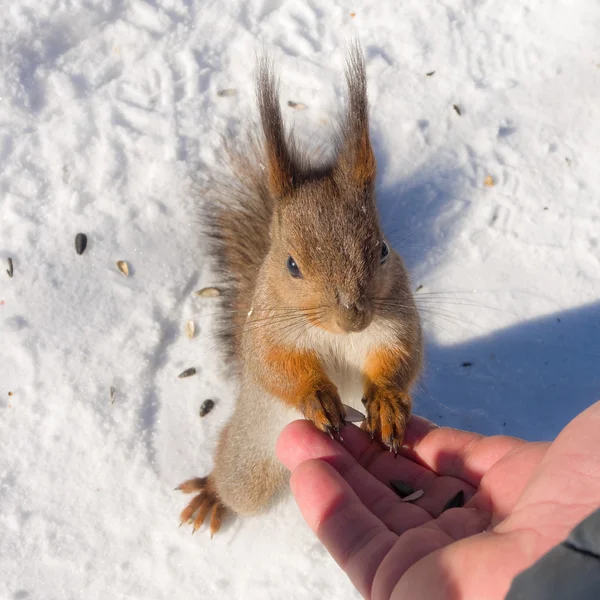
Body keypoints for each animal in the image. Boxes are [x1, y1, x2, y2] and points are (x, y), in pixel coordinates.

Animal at [177, 44, 422, 536]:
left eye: (383, 250)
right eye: (291, 265)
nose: (352, 317)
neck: (336, 336)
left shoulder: (396, 319)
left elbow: (403, 355)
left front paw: (387, 401)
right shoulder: (268, 331)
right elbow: (275, 365)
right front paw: (315, 395)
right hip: (248, 461)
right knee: (234, 483)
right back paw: (211, 494)